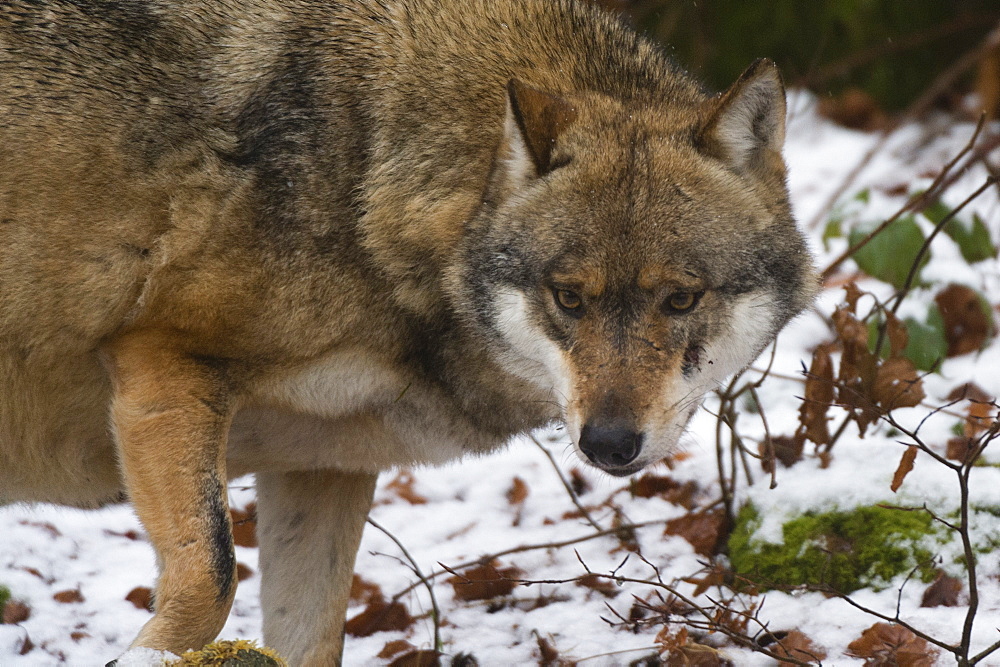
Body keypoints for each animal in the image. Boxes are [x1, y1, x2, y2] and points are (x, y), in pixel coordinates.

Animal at [0, 0, 812, 660]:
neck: (368, 175)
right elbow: (213, 572)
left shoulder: (323, 465)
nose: (610, 443)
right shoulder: (164, 362)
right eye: (569, 298)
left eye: (680, 299)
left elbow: (309, 638)